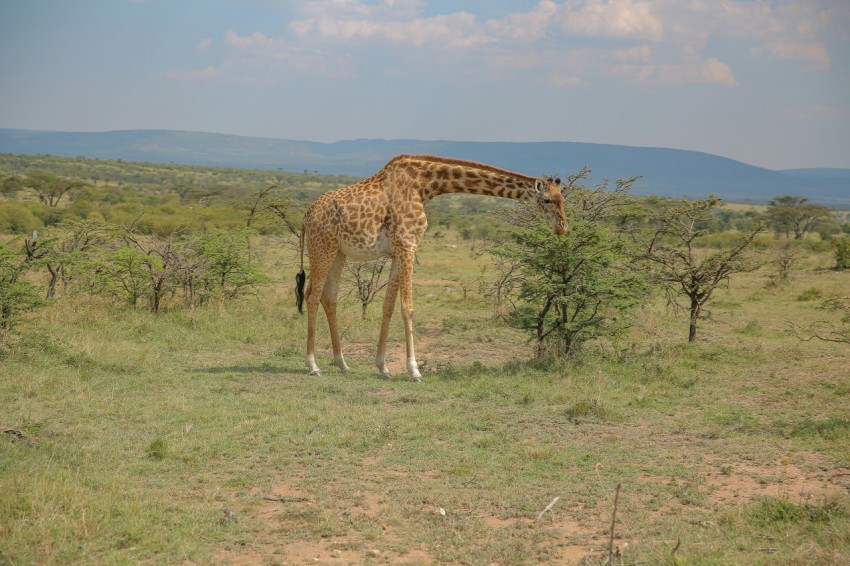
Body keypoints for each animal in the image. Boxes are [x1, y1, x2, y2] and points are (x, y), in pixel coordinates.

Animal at [294, 154, 568, 382]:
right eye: (546, 199)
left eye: (563, 199)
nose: (562, 228)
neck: (424, 186)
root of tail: (306, 216)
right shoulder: (407, 245)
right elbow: (408, 308)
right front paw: (414, 371)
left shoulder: (399, 250)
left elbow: (388, 306)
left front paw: (383, 367)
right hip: (322, 247)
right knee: (312, 295)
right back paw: (313, 366)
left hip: (339, 252)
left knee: (329, 297)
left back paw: (342, 364)